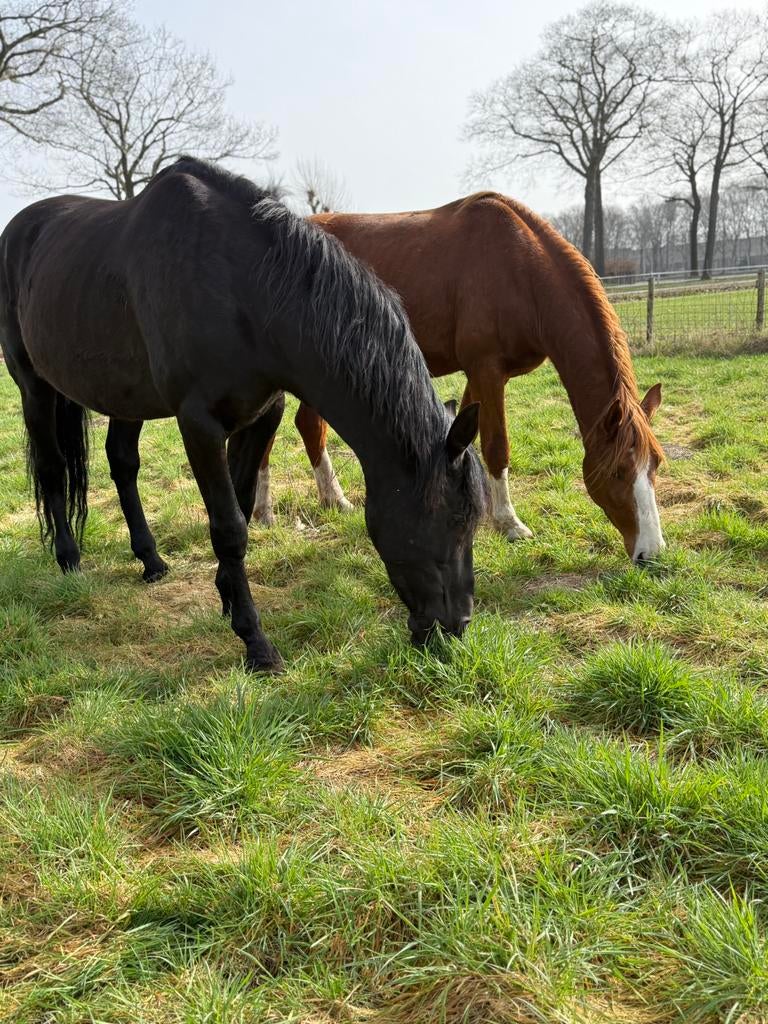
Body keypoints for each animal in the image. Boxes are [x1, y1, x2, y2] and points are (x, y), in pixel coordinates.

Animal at [0, 158, 486, 672]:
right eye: (455, 520)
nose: (455, 627)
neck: (243, 288)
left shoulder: (261, 415)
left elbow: (243, 505)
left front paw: (227, 599)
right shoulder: (199, 425)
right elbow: (229, 527)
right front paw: (256, 643)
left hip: (124, 396)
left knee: (122, 464)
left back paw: (151, 561)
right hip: (33, 385)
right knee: (52, 468)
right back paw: (69, 559)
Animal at [254, 193, 666, 564]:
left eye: (657, 464)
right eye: (618, 471)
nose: (652, 554)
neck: (520, 270)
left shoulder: (482, 374)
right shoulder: (486, 368)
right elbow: (496, 446)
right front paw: (509, 523)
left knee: (309, 425)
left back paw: (334, 500)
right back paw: (264, 510)